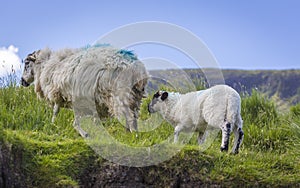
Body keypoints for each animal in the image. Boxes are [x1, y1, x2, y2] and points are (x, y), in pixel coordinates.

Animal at [20, 45, 148, 137]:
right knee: (133, 115)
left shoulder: (57, 93)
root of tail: (135, 67)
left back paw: (133, 136)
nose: (22, 82)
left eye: (26, 63)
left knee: (129, 115)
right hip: (135, 95)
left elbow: (56, 111)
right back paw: (131, 134)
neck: (44, 65)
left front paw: (53, 124)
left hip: (120, 93)